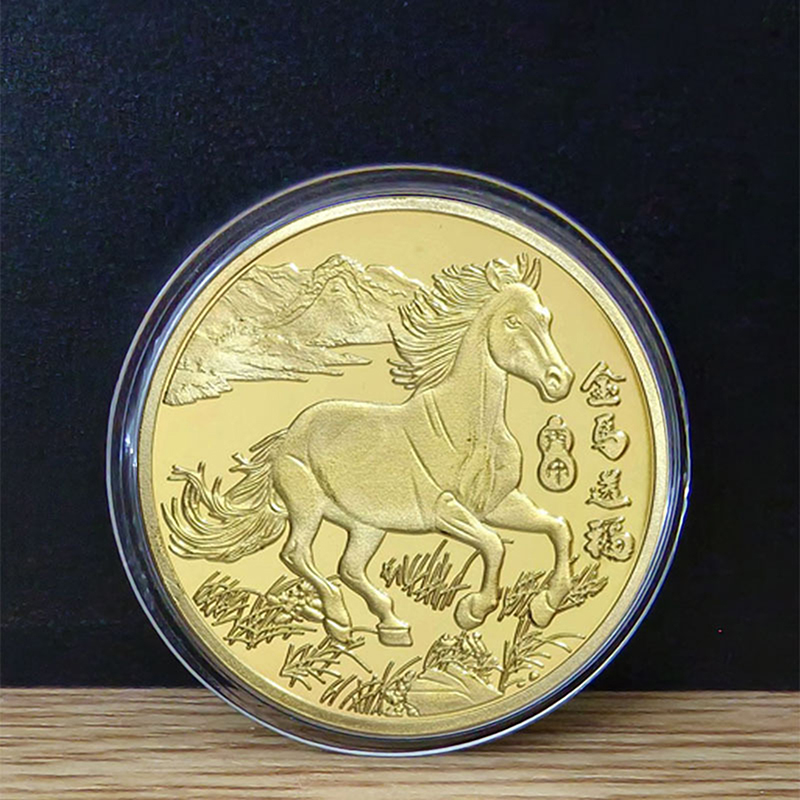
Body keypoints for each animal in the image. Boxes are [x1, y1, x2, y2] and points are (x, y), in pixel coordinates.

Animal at [164, 253, 576, 647]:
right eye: (512, 321)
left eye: (546, 318)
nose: (560, 380)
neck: (469, 428)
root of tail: (290, 435)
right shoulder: (445, 509)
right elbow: (493, 545)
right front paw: (473, 610)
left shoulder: (497, 503)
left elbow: (557, 527)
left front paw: (545, 605)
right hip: (308, 506)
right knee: (297, 554)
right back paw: (340, 621)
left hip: (366, 525)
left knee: (349, 567)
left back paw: (391, 624)